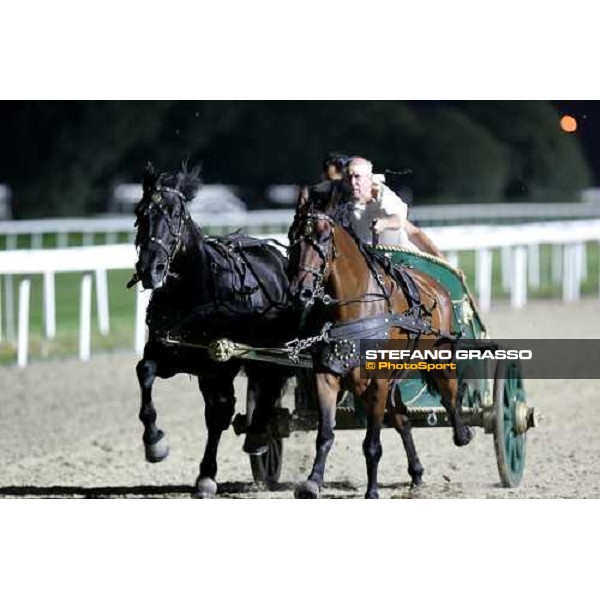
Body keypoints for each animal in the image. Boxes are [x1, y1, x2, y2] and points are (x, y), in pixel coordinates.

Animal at [134, 163, 298, 496]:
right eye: (141, 212)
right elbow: (145, 372)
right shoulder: (169, 351)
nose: (149, 269)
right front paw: (155, 443)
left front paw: (207, 475)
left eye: (174, 213)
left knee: (266, 391)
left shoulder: (221, 364)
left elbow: (219, 416)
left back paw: (259, 436)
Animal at [286, 199, 474, 500]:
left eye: (323, 237)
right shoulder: (327, 375)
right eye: (293, 238)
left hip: (439, 359)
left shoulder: (378, 382)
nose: (299, 291)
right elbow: (325, 434)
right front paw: (312, 482)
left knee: (451, 397)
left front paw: (372, 491)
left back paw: (462, 433)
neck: (355, 309)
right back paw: (416, 472)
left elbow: (372, 444)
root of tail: (436, 288)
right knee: (403, 420)